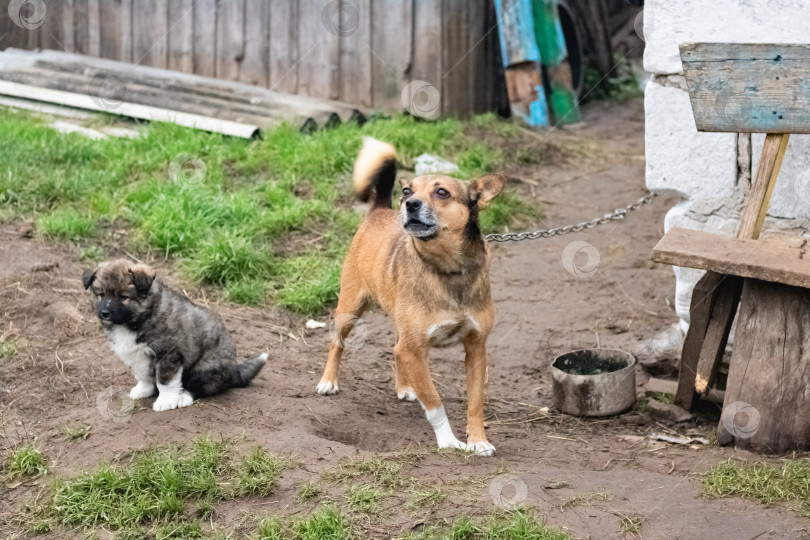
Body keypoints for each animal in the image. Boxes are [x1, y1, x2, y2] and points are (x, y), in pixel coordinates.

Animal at [82, 260, 266, 412]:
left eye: (123, 297)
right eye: (101, 294)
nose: (104, 313)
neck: (139, 317)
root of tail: (235, 371)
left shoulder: (168, 354)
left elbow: (165, 381)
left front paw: (166, 401)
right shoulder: (137, 355)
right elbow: (143, 374)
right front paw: (143, 390)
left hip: (206, 368)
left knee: (199, 387)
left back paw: (183, 397)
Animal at [318, 137, 502, 454]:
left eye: (442, 192)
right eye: (407, 191)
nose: (410, 204)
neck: (448, 269)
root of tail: (379, 211)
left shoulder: (476, 348)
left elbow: (475, 402)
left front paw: (478, 441)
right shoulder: (414, 348)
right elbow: (435, 401)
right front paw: (448, 441)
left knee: (395, 348)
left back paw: (405, 386)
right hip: (350, 310)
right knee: (336, 344)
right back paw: (328, 381)